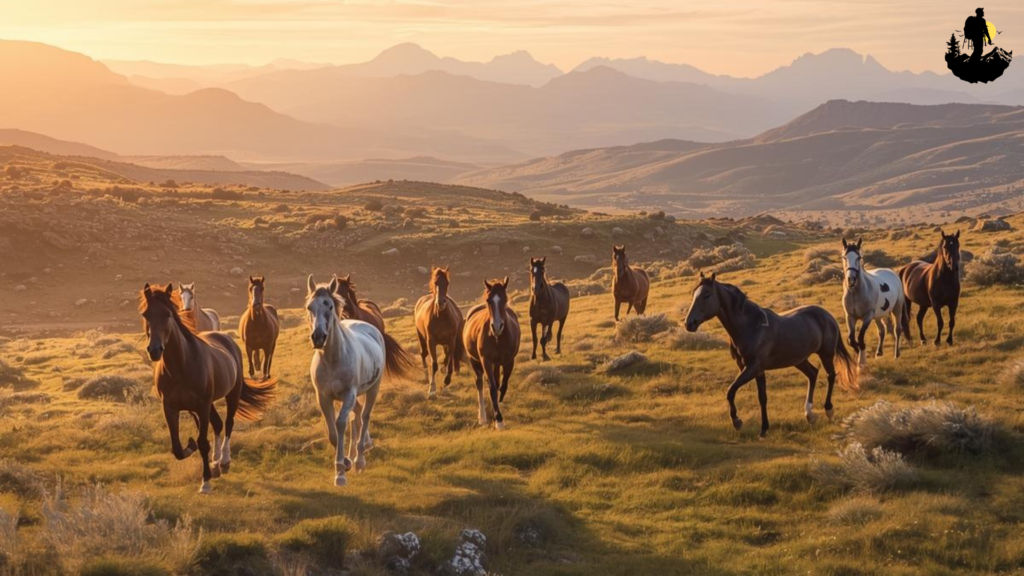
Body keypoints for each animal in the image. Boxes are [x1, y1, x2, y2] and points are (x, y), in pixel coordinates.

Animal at [140, 283, 276, 493]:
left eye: (167, 314)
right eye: (146, 314)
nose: (154, 350)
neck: (181, 365)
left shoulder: (201, 407)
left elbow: (203, 442)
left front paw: (205, 482)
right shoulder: (171, 408)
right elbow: (178, 449)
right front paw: (192, 448)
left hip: (232, 395)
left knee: (228, 423)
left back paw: (225, 461)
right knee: (218, 424)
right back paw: (216, 461)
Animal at [306, 275, 415, 486]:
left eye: (329, 305)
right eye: (309, 307)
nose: (318, 337)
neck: (333, 359)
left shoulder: (349, 393)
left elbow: (340, 423)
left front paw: (341, 472)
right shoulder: (323, 397)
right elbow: (332, 432)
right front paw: (344, 463)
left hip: (372, 389)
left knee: (364, 416)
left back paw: (359, 460)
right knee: (356, 416)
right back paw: (354, 454)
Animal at [414, 266, 466, 397]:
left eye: (447, 283)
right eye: (435, 282)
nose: (440, 303)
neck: (441, 317)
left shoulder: (451, 341)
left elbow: (449, 360)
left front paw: (447, 379)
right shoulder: (431, 342)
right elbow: (434, 364)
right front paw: (432, 387)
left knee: (447, 357)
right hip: (421, 338)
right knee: (423, 354)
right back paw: (426, 377)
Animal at [462, 278, 521, 430]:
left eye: (505, 299)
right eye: (489, 300)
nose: (497, 327)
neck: (498, 339)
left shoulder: (508, 361)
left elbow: (503, 386)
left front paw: (496, 412)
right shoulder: (486, 361)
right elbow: (493, 389)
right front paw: (498, 419)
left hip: (497, 364)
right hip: (475, 361)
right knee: (480, 384)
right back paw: (482, 417)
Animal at [684, 272, 858, 437]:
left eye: (706, 295)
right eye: (693, 294)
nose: (689, 323)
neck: (751, 327)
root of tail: (827, 316)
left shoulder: (753, 367)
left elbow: (731, 391)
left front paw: (737, 422)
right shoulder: (755, 370)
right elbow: (762, 397)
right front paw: (763, 429)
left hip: (826, 354)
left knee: (831, 375)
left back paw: (828, 410)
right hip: (799, 359)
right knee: (813, 373)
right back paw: (809, 414)